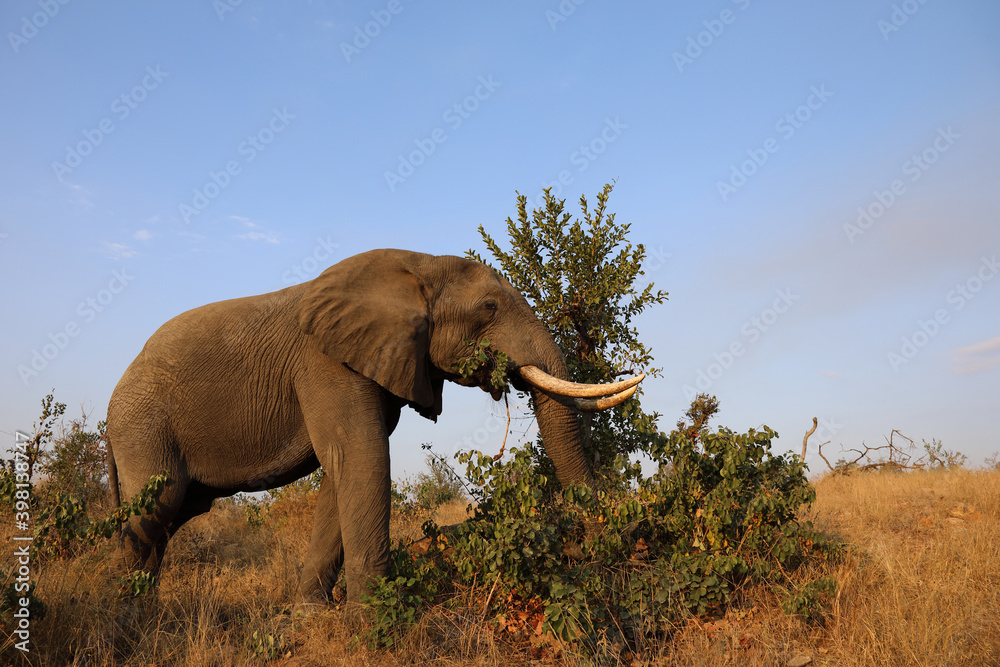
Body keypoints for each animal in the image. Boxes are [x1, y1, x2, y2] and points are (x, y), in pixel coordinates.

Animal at [105, 248, 643, 603]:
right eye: (489, 308)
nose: (595, 547)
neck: (418, 265)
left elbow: (342, 471)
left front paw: (311, 614)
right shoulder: (325, 363)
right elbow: (360, 457)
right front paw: (375, 621)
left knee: (171, 516)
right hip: (144, 426)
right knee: (157, 507)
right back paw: (122, 614)